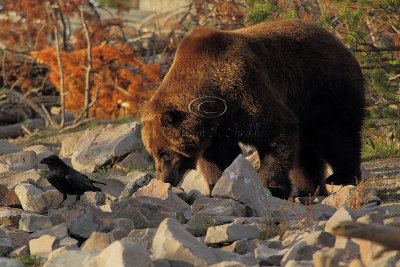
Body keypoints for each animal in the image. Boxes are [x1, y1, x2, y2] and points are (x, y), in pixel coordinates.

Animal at [139, 18, 364, 199]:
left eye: (163, 154)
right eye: (152, 153)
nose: (164, 179)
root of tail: (338, 41)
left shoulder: (244, 90)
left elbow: (276, 131)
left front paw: (272, 187)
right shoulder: (216, 128)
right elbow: (220, 157)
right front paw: (217, 185)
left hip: (324, 88)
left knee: (337, 134)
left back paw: (341, 176)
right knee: (307, 151)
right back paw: (309, 190)